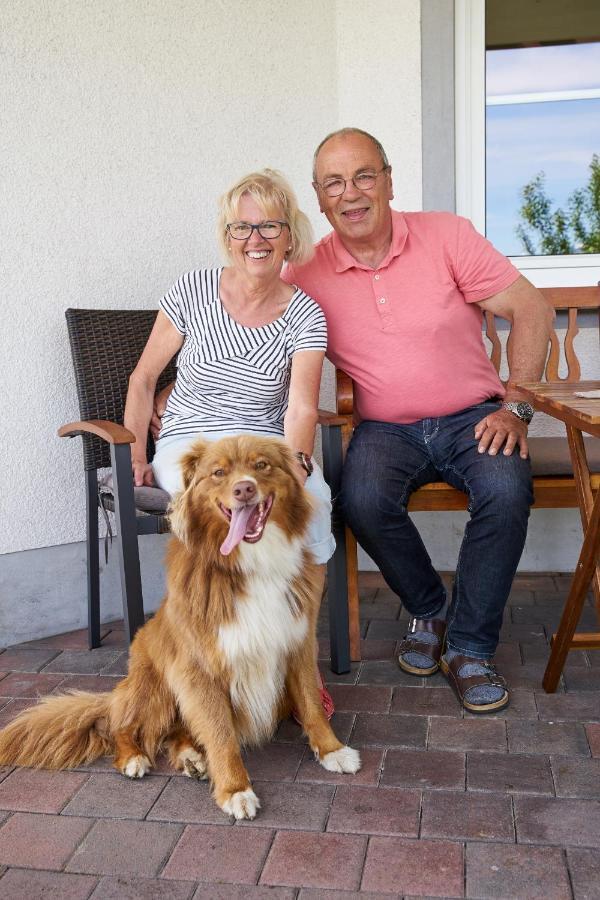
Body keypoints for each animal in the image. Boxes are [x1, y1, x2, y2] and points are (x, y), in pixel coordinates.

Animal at [0, 432, 358, 820]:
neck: (250, 563)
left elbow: (310, 703)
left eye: (261, 465)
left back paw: (191, 758)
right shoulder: (199, 667)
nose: (244, 489)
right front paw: (235, 788)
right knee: (122, 725)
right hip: (156, 686)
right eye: (218, 473)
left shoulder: (297, 644)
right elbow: (220, 733)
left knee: (178, 733)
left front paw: (332, 749)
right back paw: (134, 758)